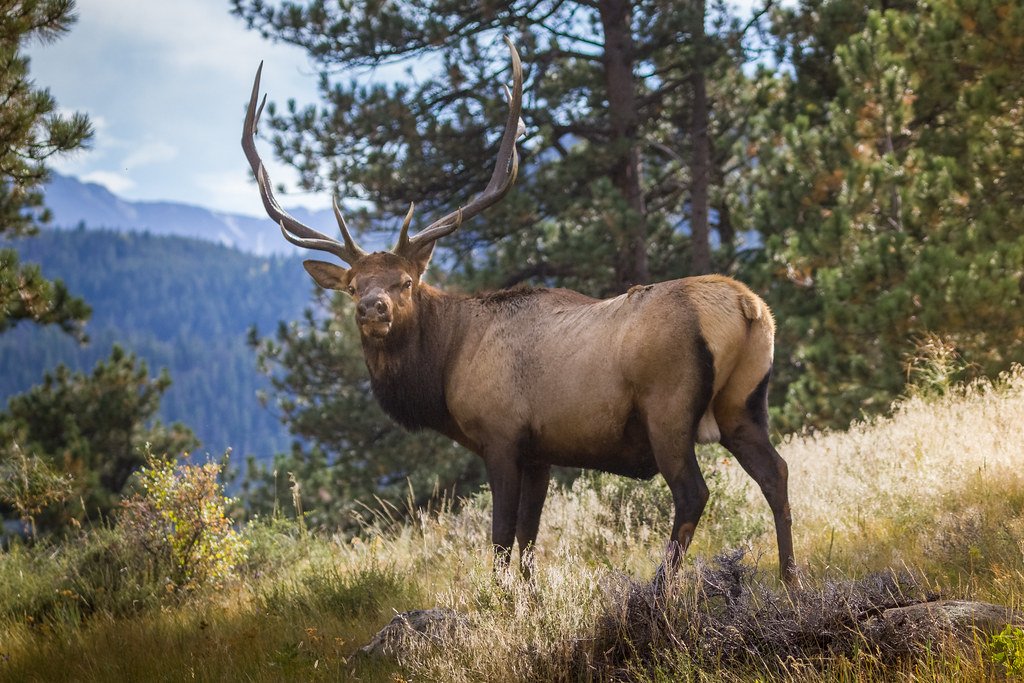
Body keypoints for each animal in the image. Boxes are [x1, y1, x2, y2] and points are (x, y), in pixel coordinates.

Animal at [242, 38, 795, 585]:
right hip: (743, 404)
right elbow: (529, 544)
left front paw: (499, 598)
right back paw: (790, 581)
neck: (444, 370)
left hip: (669, 407)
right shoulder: (540, 454)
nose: (372, 308)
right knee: (777, 472)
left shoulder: (502, 436)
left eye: (405, 282)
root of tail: (747, 307)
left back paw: (658, 590)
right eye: (353, 285)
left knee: (693, 493)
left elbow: (501, 541)